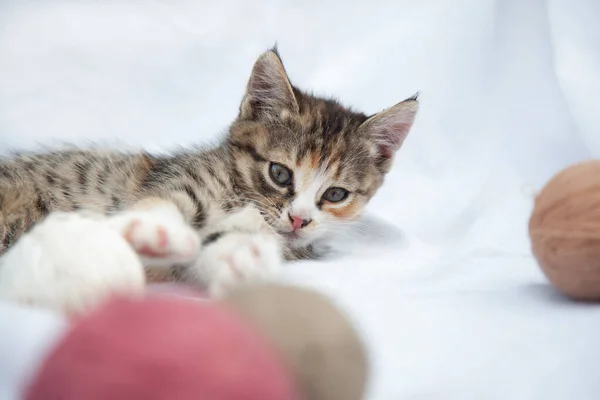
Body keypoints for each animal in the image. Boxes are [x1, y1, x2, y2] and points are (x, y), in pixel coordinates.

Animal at [0, 47, 418, 310]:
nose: (299, 219)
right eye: (279, 173)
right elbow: (164, 203)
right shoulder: (179, 179)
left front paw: (240, 261)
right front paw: (154, 232)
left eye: (335, 194)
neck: (243, 197)